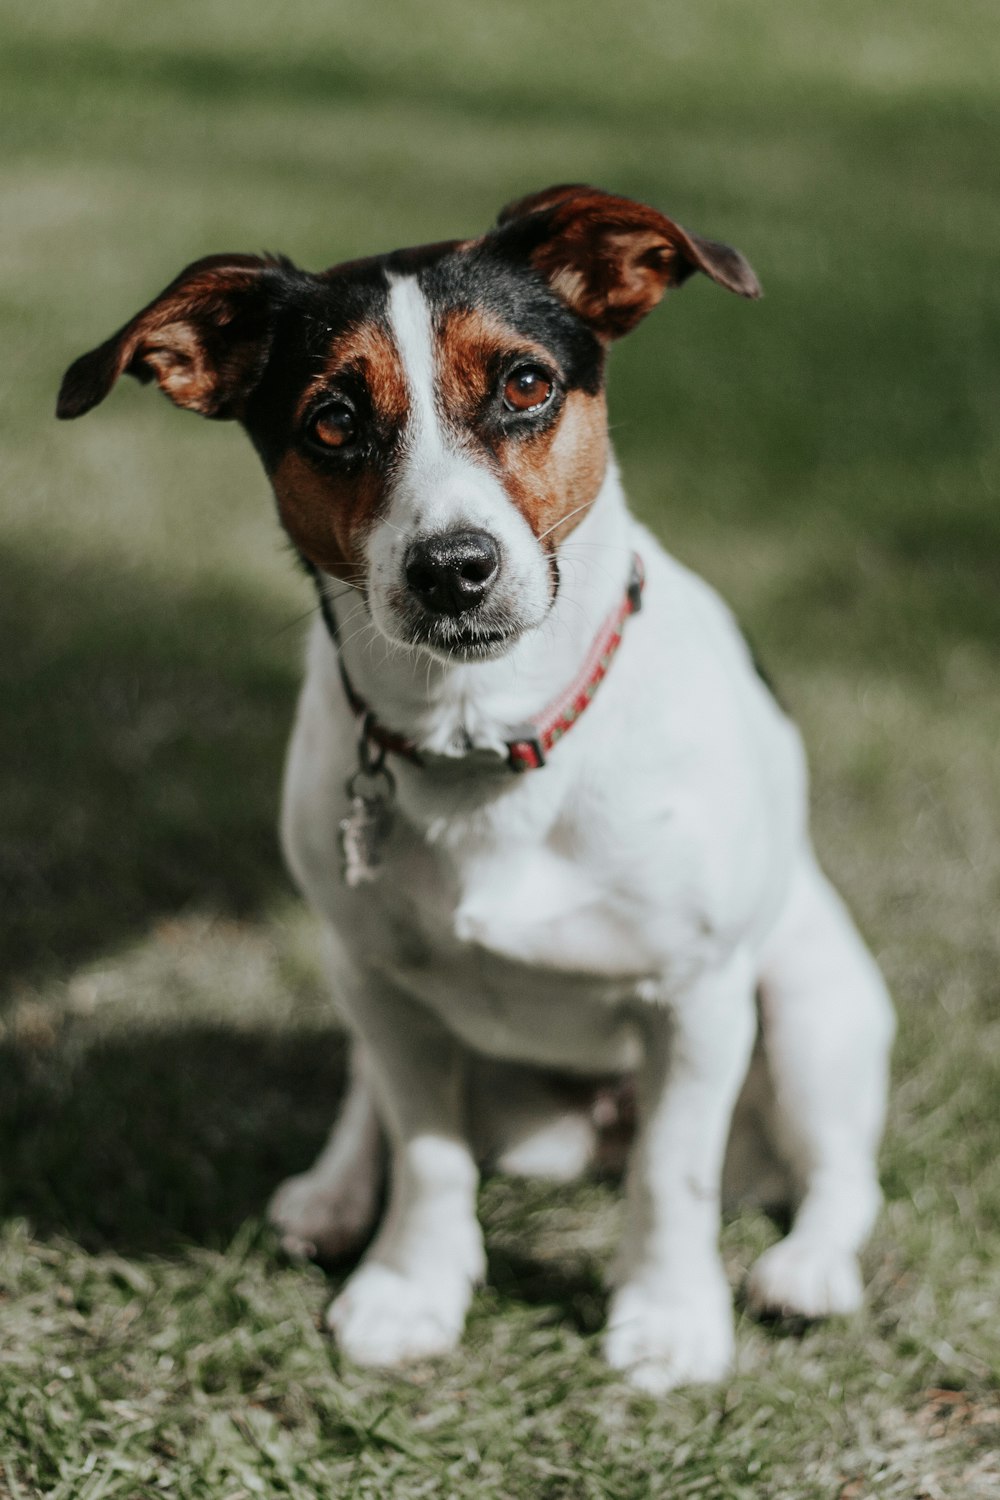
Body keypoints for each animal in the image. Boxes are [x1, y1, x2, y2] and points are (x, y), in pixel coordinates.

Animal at [58, 187, 893, 1392]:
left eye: (526, 384)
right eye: (331, 419)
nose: (452, 569)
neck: (483, 743)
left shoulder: (696, 1001)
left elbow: (671, 1176)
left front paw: (669, 1319)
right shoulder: (391, 994)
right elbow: (429, 1155)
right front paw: (410, 1290)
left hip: (812, 1005)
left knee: (836, 1174)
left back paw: (807, 1270)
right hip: (363, 981)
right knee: (370, 1103)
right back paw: (334, 1191)